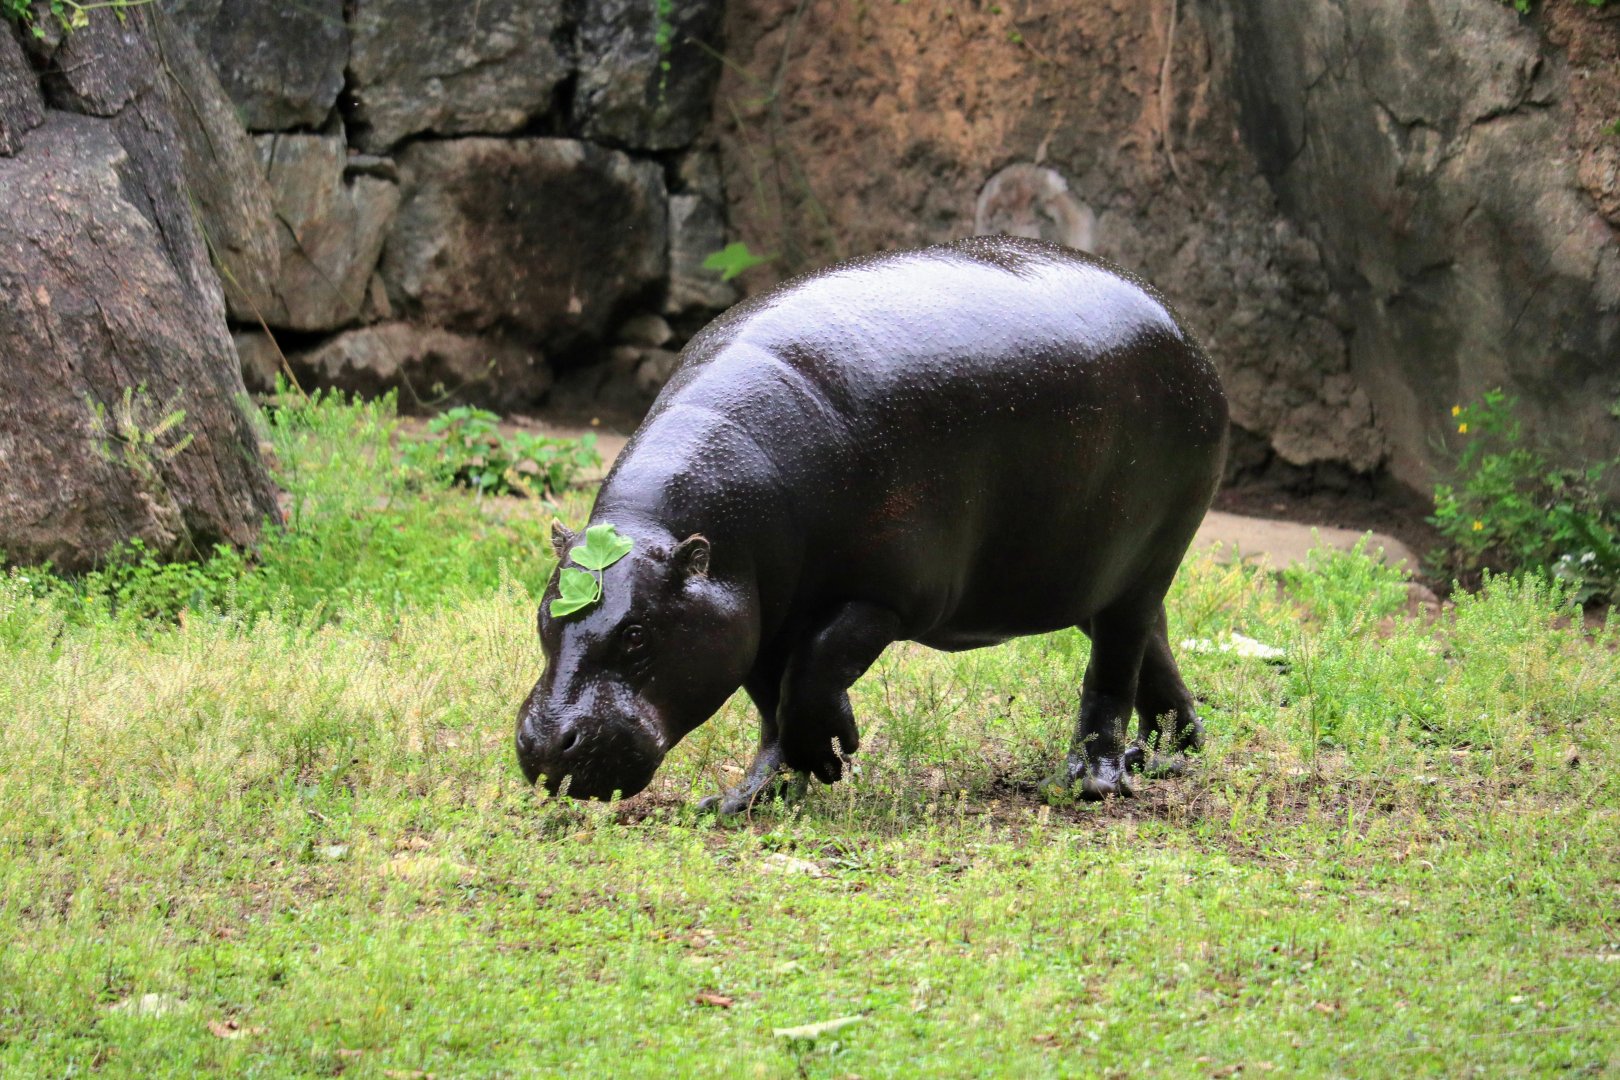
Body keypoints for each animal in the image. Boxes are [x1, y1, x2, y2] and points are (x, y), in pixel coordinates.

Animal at [516, 235, 1228, 810]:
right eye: (544, 617)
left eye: (637, 634)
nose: (546, 745)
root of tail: (1186, 332)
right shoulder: (751, 614)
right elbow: (769, 704)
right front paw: (747, 798)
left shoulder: (883, 595)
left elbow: (808, 677)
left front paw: (833, 755)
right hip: (1085, 576)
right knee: (1155, 646)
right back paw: (1167, 755)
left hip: (1146, 559)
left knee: (1113, 668)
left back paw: (1089, 781)